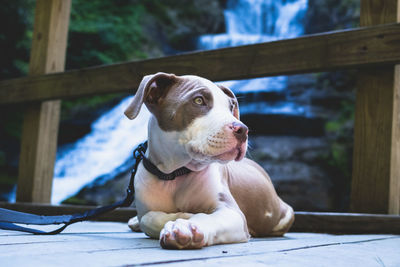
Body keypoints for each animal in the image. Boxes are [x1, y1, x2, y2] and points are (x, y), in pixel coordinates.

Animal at [123, 72, 296, 250]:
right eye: (199, 100)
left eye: (231, 106)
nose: (243, 130)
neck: (174, 173)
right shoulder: (146, 207)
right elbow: (147, 218)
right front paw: (180, 216)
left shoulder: (233, 213)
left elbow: (204, 216)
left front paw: (186, 225)